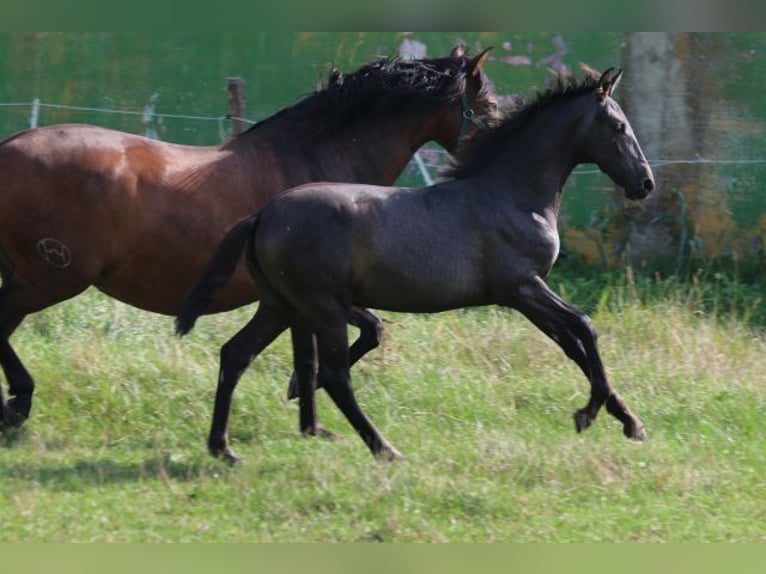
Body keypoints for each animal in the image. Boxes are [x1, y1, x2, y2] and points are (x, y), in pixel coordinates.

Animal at [177, 68, 656, 464]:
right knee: (334, 375)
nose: (645, 183)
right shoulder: (521, 288)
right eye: (619, 127)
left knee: (237, 353)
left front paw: (628, 421)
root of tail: (263, 214)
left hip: (282, 304)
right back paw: (384, 448)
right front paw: (589, 414)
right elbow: (585, 328)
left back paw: (223, 448)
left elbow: (573, 343)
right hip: (322, 306)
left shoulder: (526, 294)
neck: (513, 194)